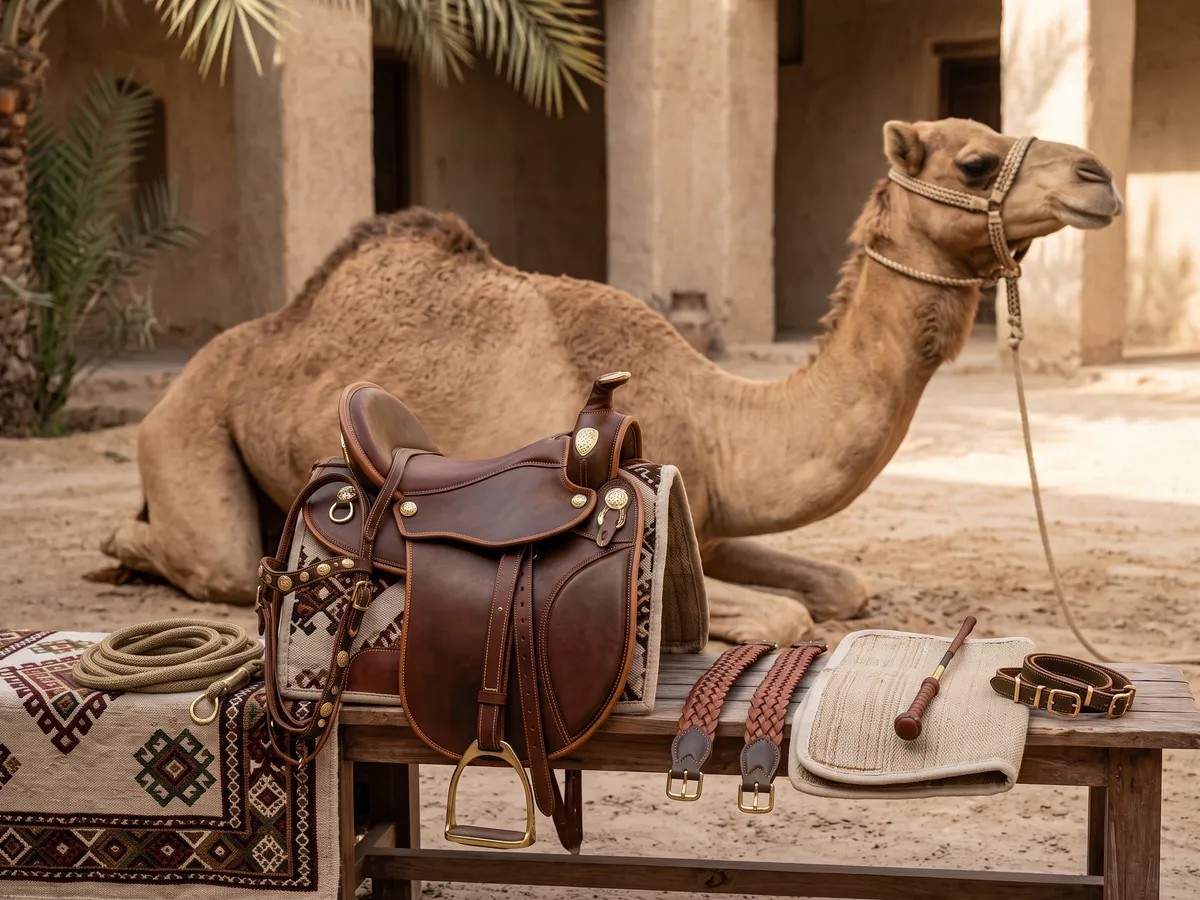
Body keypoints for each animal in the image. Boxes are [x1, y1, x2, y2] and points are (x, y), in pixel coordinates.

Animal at [99, 117, 1122, 645]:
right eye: (977, 160)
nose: (1100, 176)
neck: (719, 419)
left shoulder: (714, 521)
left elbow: (843, 587)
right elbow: (789, 619)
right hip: (187, 426)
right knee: (217, 560)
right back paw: (119, 546)